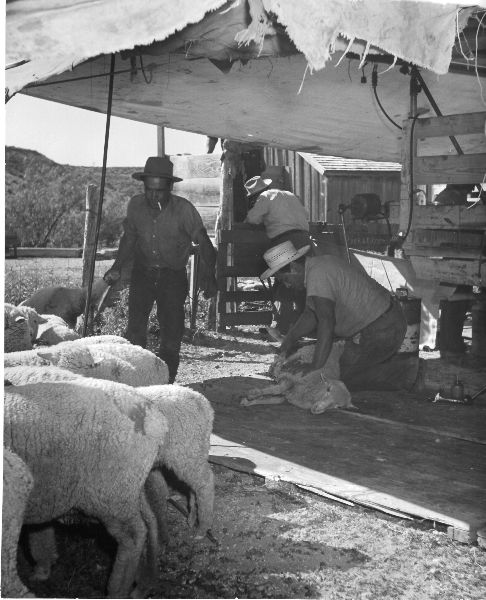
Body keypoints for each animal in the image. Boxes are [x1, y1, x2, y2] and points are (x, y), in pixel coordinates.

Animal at [4, 380, 169, 600]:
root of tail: (154, 415)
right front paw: (42, 569)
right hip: (128, 488)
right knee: (151, 523)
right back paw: (144, 583)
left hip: (111, 494)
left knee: (134, 535)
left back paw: (117, 589)